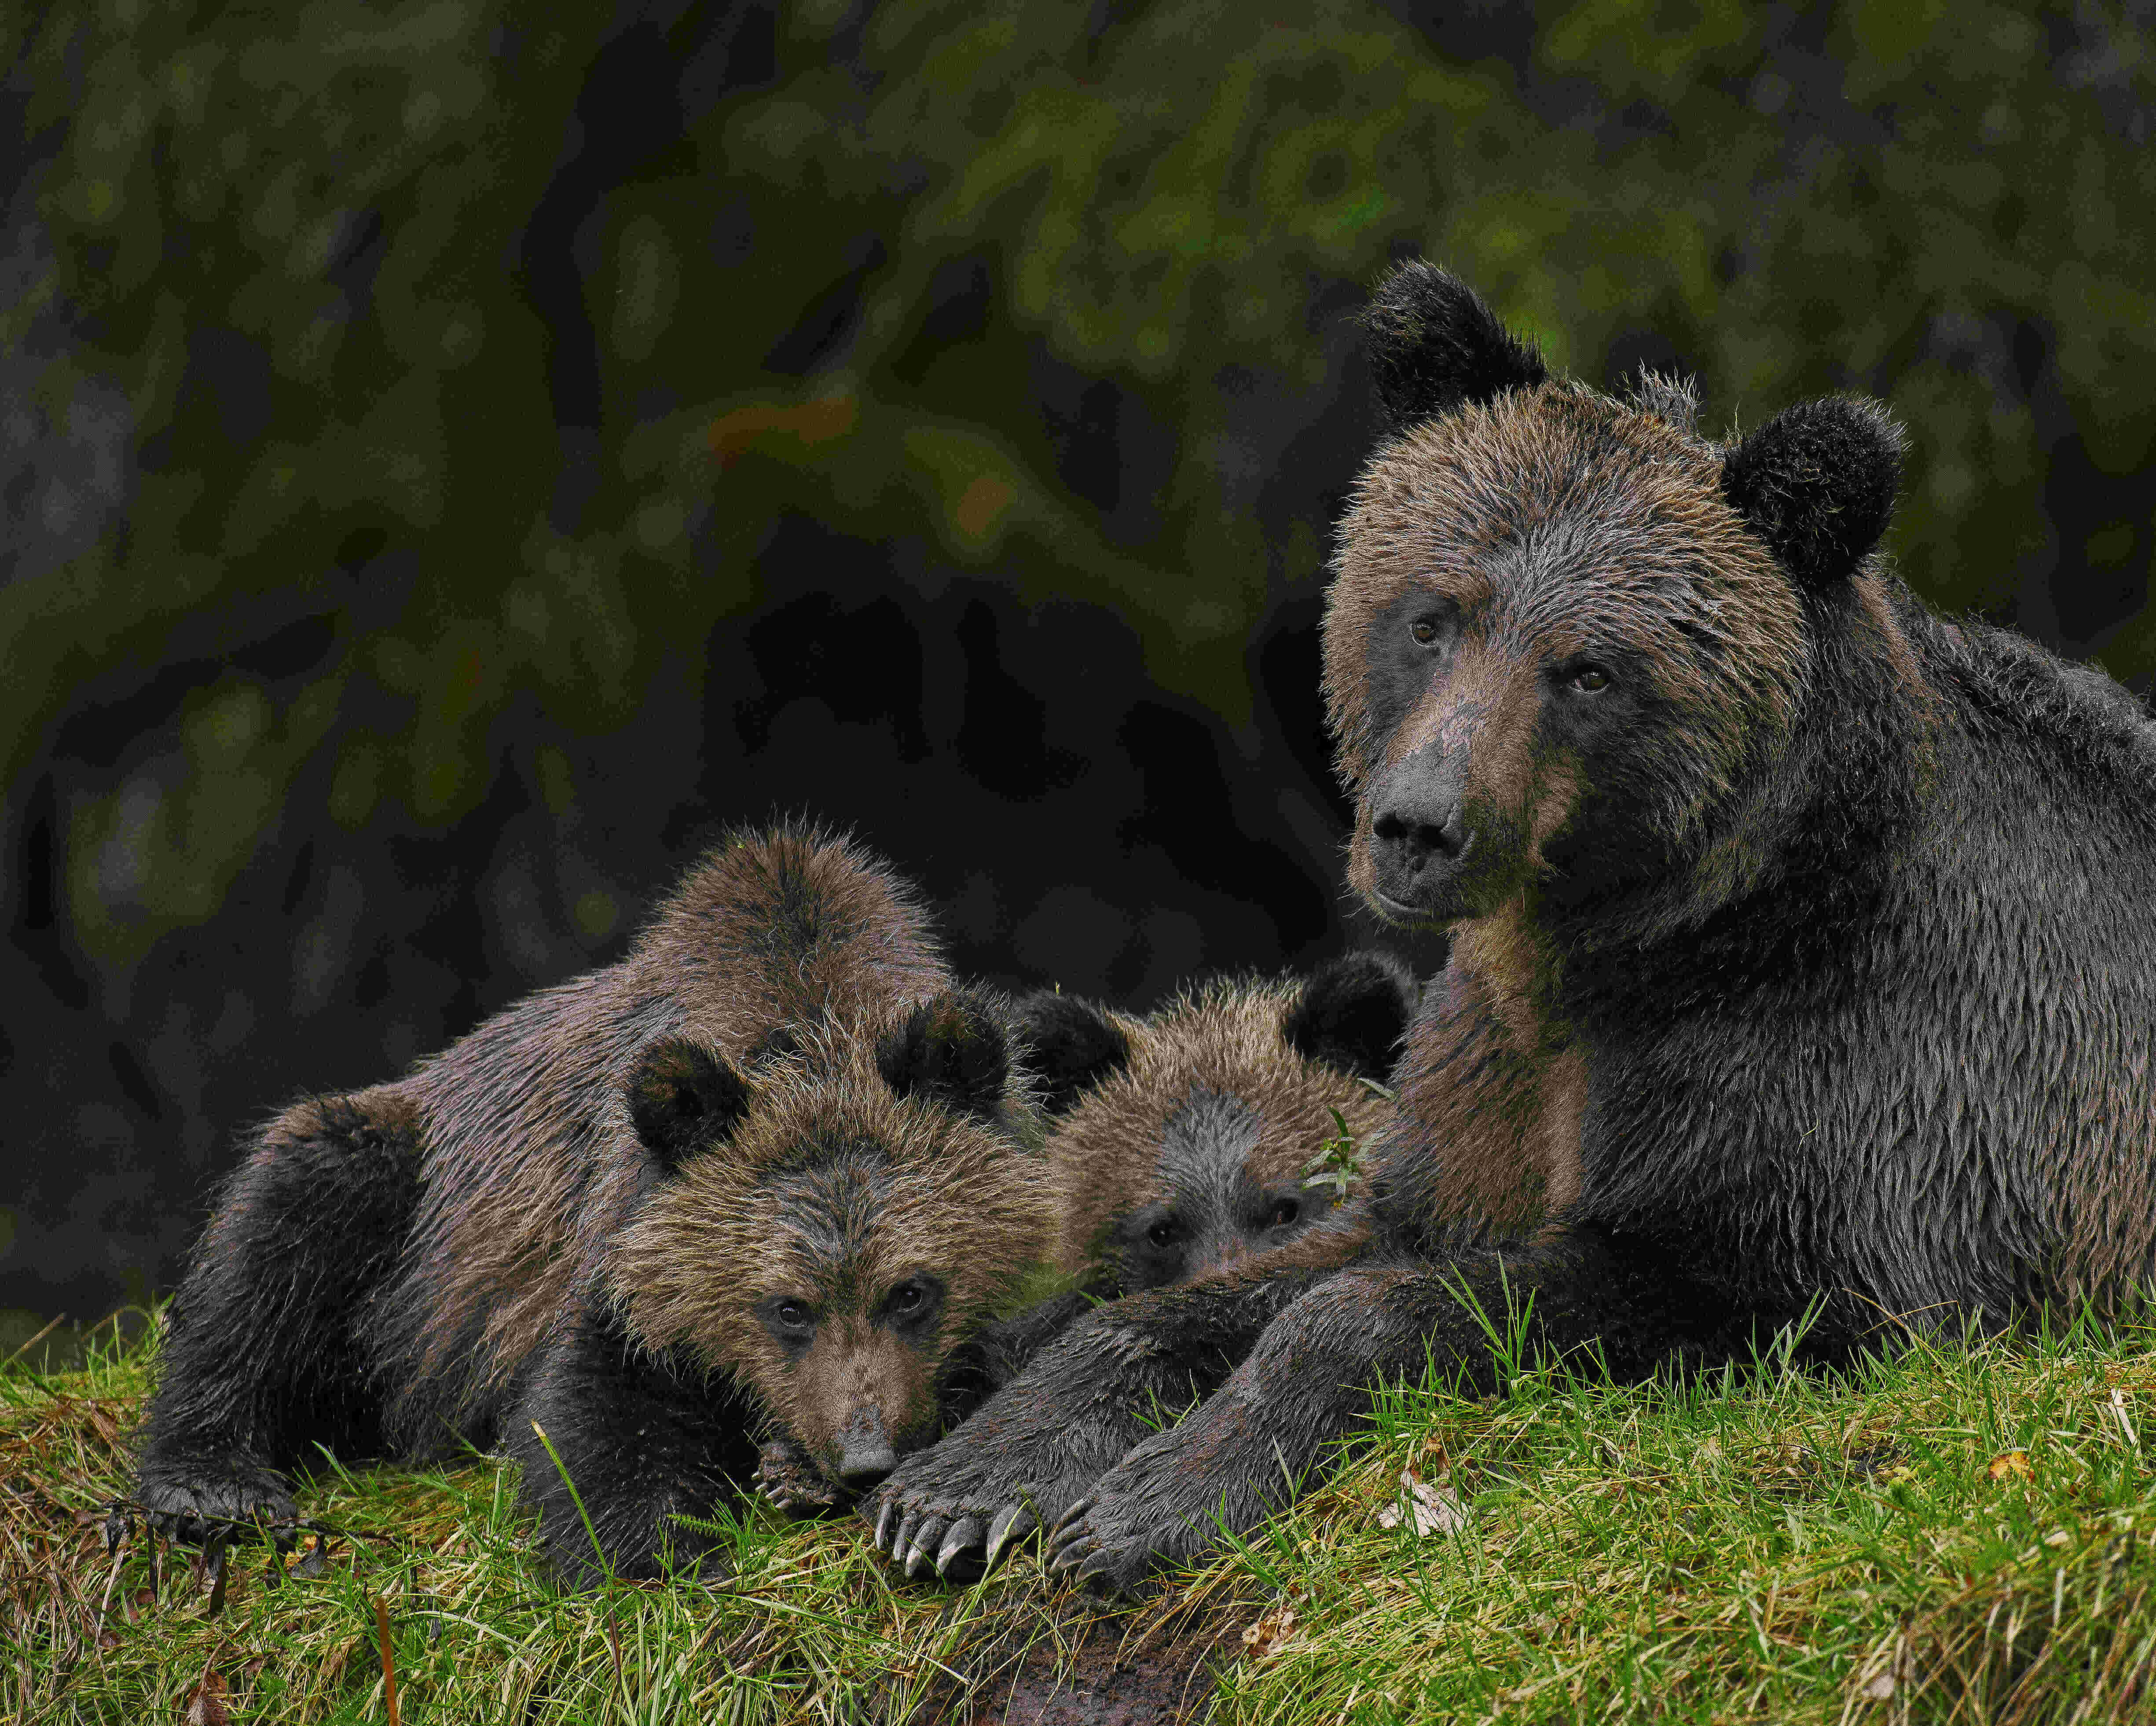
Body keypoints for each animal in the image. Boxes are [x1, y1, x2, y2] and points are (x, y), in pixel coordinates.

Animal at [130, 827, 1048, 1586]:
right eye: (788, 1306)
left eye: (911, 1290)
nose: (864, 1453)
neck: (807, 1008)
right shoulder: (622, 1240)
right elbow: (595, 1412)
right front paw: (665, 1553)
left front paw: (804, 1469)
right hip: (406, 1209)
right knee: (280, 1229)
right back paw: (211, 1485)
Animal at [866, 263, 2156, 1594]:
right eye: (1432, 615)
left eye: (1591, 669)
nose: (1418, 826)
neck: (1626, 943)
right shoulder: (1480, 1069)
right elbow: (1294, 1258)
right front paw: (963, 1485)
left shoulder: (1862, 1110)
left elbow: (1597, 1288)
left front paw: (1150, 1499)